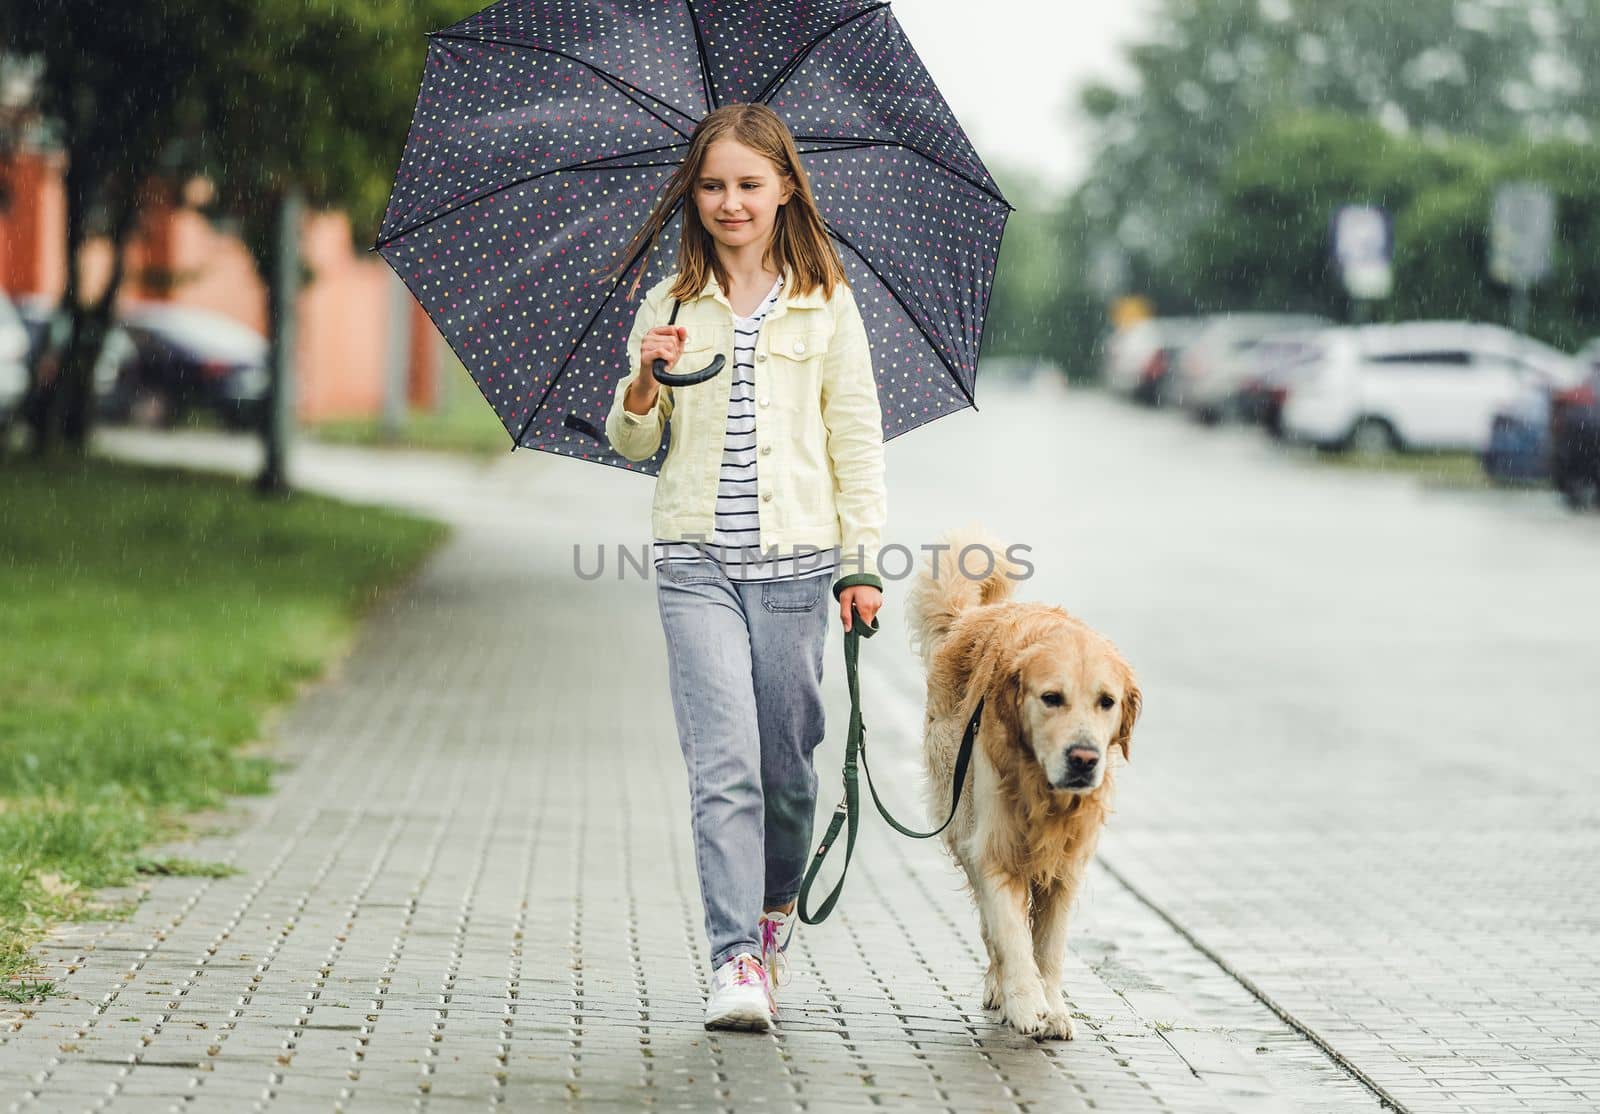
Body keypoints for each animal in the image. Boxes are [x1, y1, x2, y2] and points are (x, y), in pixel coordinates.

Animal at [908, 524, 1145, 1037]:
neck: (1042, 789)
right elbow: (1013, 936)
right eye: (1051, 697)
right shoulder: (994, 849)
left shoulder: (1067, 866)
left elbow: (1048, 948)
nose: (1084, 759)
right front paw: (1024, 1002)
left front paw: (1053, 1007)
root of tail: (970, 617)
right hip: (960, 822)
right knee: (989, 926)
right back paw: (1000, 990)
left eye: (1107, 701)